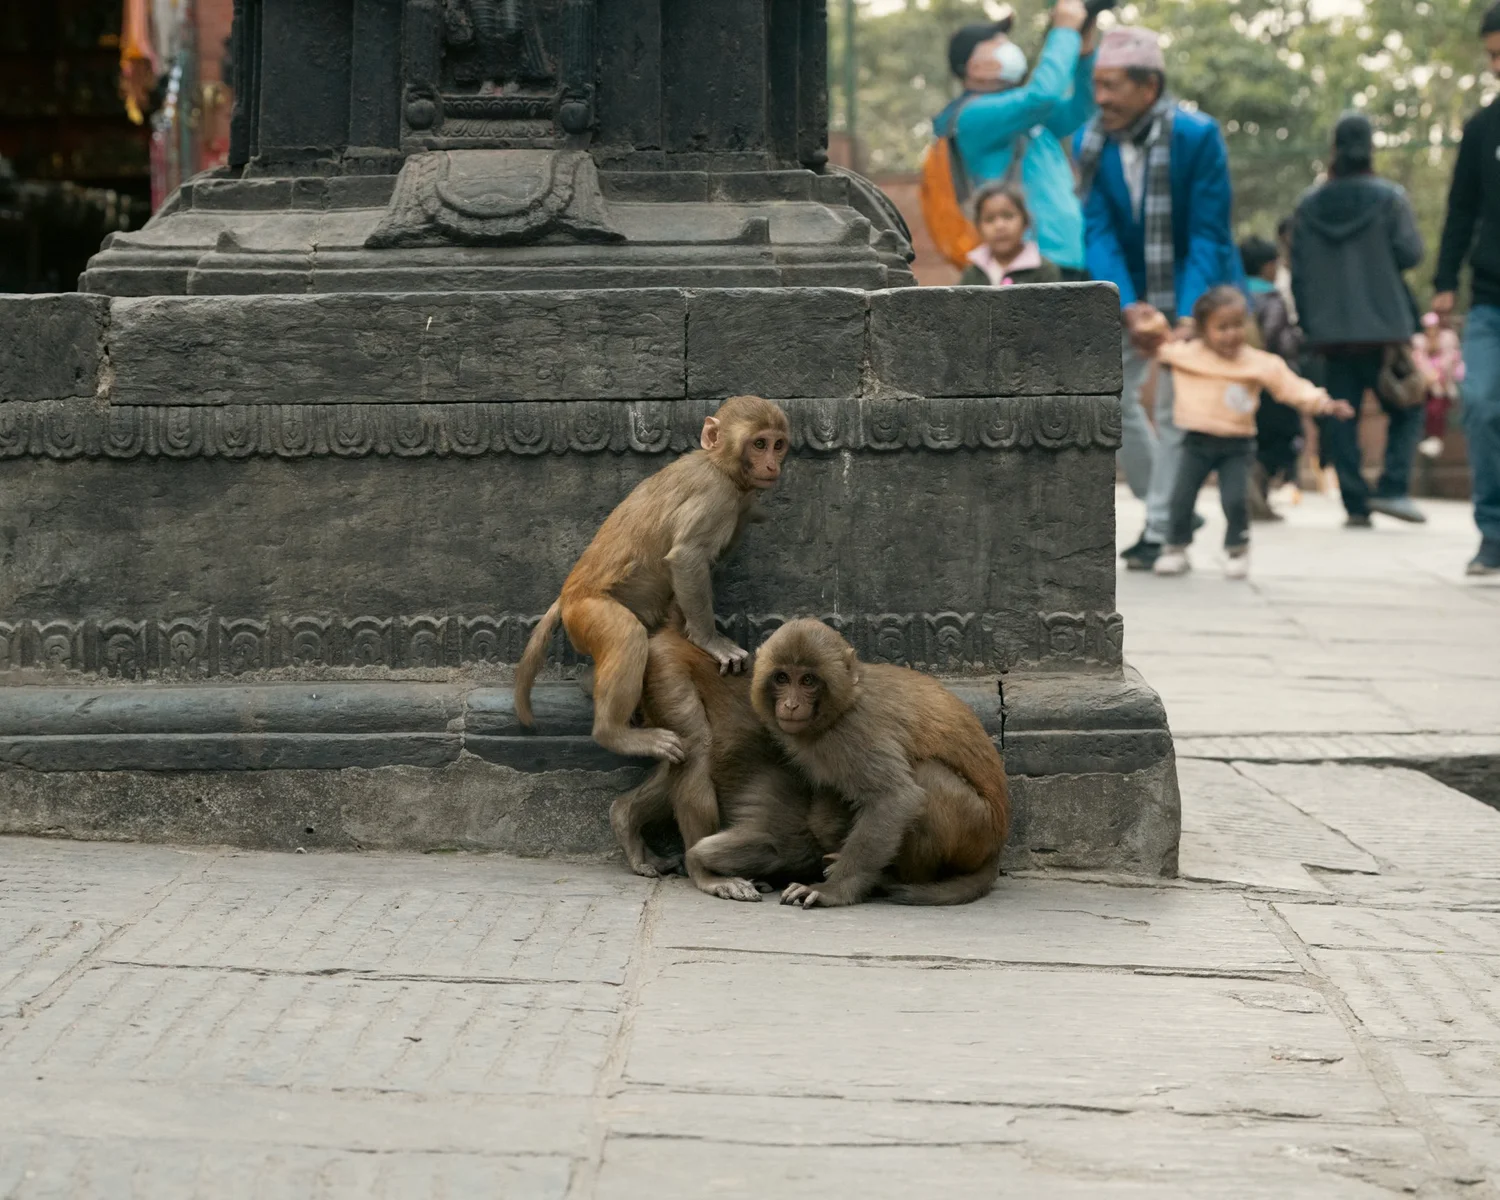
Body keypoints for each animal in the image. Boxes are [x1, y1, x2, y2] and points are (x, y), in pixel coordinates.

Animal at [512, 395, 790, 762]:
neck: (718, 464)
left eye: (777, 444)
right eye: (759, 444)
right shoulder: (716, 497)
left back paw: (589, 682)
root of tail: (567, 597)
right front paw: (709, 640)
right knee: (626, 634)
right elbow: (687, 558)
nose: (772, 465)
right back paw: (614, 734)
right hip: (587, 613)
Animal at [749, 618, 1010, 908]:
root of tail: (995, 848)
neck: (844, 704)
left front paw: (834, 890)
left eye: (808, 680)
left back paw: (893, 880)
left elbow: (894, 798)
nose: (791, 705)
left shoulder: (856, 731)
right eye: (782, 678)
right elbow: (826, 811)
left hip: (978, 831)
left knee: (928, 777)